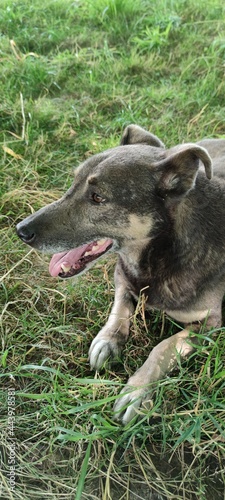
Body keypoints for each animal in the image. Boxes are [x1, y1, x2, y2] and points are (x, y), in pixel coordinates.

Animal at [15, 127, 225, 424]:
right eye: (73, 184)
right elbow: (120, 307)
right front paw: (107, 341)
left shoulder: (210, 324)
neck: (158, 254)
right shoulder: (122, 275)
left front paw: (136, 390)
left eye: (98, 198)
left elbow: (164, 346)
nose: (20, 231)